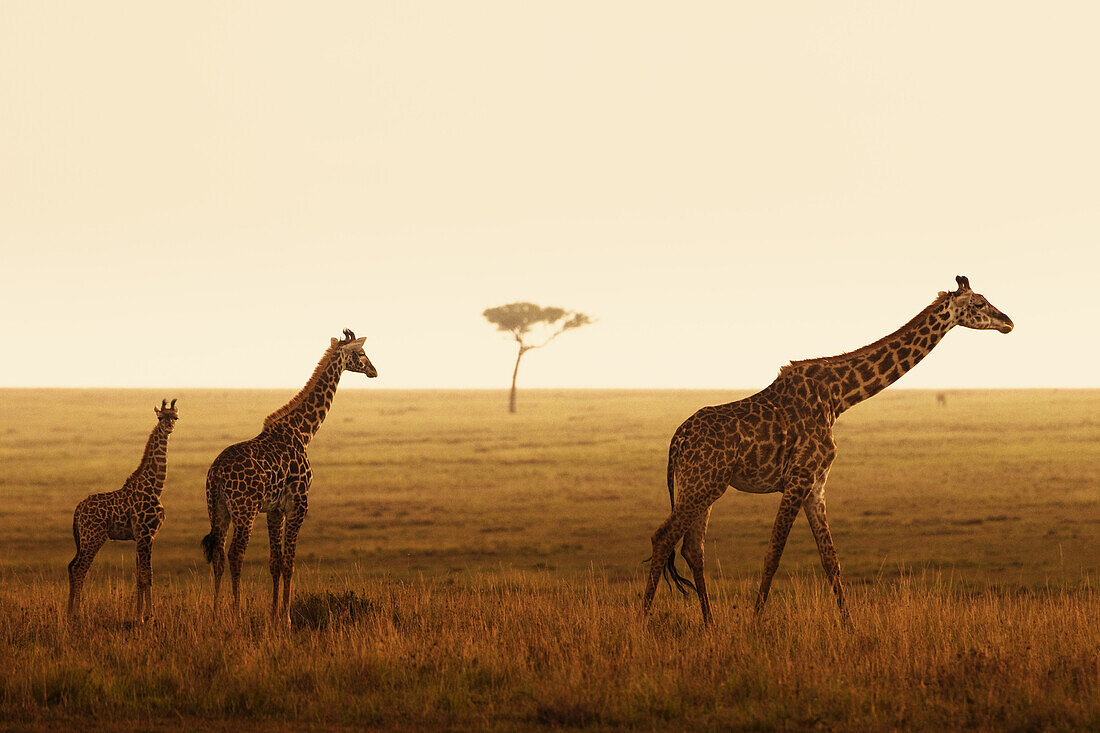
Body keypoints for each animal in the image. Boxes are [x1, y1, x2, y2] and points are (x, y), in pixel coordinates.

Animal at [68, 396, 179, 620]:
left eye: (176, 417)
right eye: (160, 417)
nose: (169, 427)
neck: (156, 487)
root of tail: (77, 510)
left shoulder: (142, 537)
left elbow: (140, 575)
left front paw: (140, 614)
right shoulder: (146, 534)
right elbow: (147, 575)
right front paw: (148, 616)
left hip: (83, 539)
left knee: (72, 566)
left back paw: (68, 613)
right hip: (93, 537)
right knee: (79, 569)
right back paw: (77, 615)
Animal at [202, 327, 378, 620]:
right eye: (362, 353)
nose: (375, 371)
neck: (303, 432)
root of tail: (215, 473)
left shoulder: (274, 509)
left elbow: (275, 562)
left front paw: (274, 614)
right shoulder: (298, 504)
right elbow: (289, 562)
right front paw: (285, 617)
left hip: (218, 509)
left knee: (217, 554)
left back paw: (215, 614)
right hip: (245, 510)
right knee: (235, 554)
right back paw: (236, 613)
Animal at [642, 275, 1012, 620]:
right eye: (979, 303)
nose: (1008, 321)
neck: (838, 396)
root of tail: (675, 443)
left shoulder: (816, 485)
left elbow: (830, 559)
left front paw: (849, 625)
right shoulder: (798, 478)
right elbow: (774, 553)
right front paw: (754, 624)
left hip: (701, 487)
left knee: (693, 549)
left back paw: (709, 624)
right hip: (703, 484)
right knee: (664, 537)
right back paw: (644, 622)